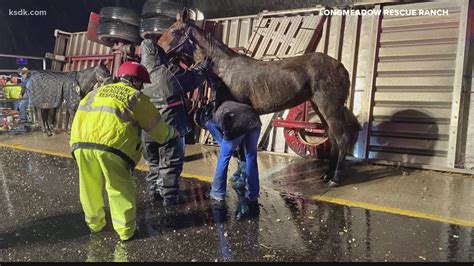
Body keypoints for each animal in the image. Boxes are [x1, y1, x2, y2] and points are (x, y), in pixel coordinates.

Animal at [157, 8, 362, 187]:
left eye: (174, 31)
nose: (158, 51)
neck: (225, 69)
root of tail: (341, 67)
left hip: (329, 107)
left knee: (342, 138)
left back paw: (335, 179)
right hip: (320, 107)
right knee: (333, 138)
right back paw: (327, 175)